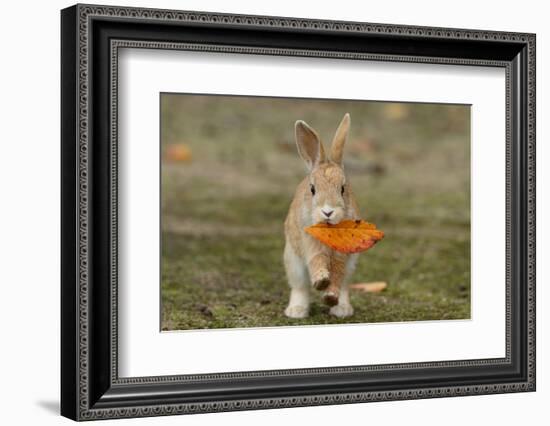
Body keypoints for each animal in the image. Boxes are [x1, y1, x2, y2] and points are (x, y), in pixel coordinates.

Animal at [284, 114, 362, 320]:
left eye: (343, 189)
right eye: (312, 189)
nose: (328, 212)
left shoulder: (343, 255)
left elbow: (337, 274)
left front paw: (330, 297)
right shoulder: (310, 244)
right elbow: (316, 260)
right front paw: (320, 281)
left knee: (344, 286)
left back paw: (342, 310)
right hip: (293, 261)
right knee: (300, 287)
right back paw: (296, 311)